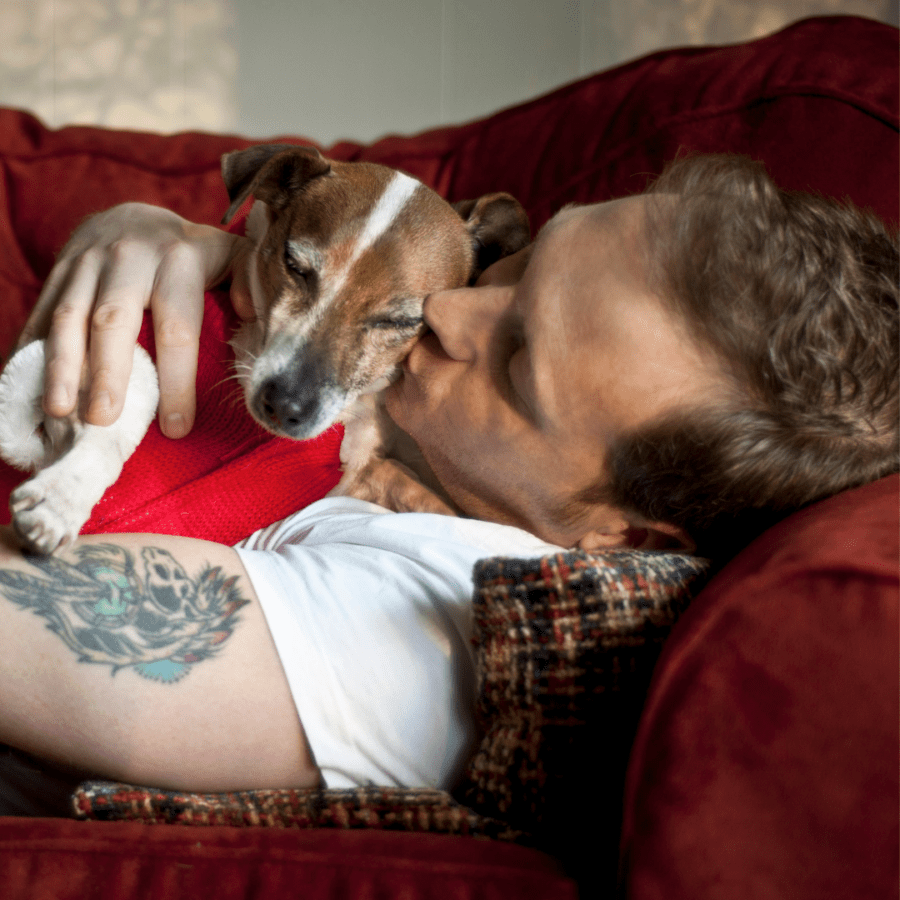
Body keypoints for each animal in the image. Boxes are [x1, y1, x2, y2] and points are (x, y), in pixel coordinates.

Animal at [0, 146, 532, 556]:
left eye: (400, 322)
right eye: (295, 265)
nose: (285, 406)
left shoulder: (357, 474)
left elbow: (428, 499)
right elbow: (111, 430)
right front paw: (61, 497)